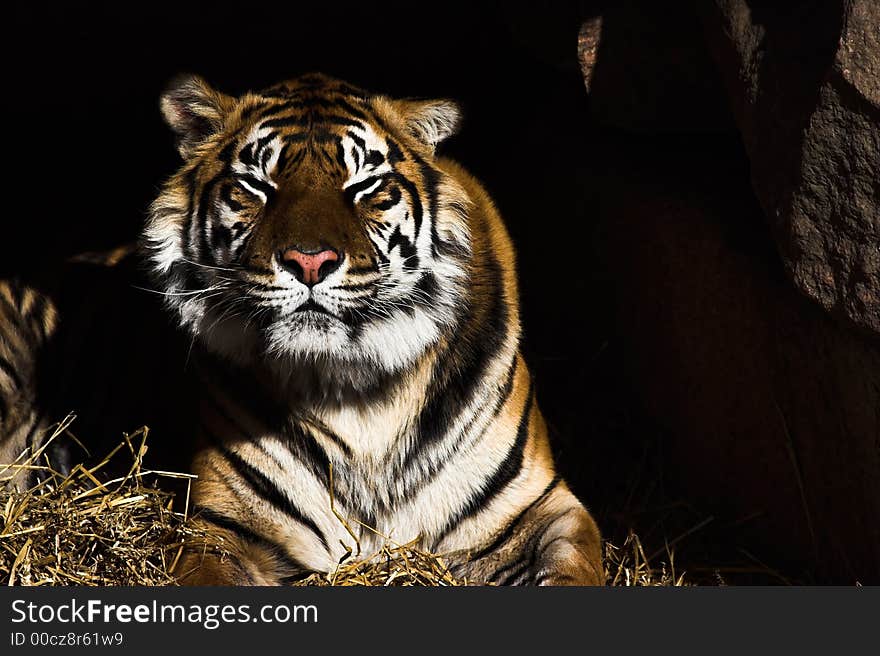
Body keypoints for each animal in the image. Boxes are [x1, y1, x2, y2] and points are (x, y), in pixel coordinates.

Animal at [0, 74, 604, 588]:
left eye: (366, 186)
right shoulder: (225, 528)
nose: (309, 262)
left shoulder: (543, 509)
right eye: (254, 185)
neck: (359, 395)